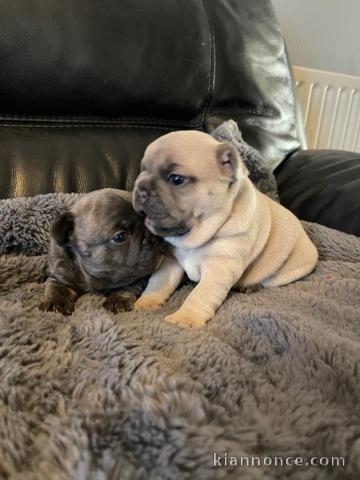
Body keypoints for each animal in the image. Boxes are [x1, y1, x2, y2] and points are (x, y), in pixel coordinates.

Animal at [132, 129, 318, 328]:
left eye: (176, 179)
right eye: (142, 170)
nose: (141, 187)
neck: (192, 238)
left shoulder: (220, 266)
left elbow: (201, 295)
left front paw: (185, 318)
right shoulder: (171, 260)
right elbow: (159, 282)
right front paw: (146, 302)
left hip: (288, 271)